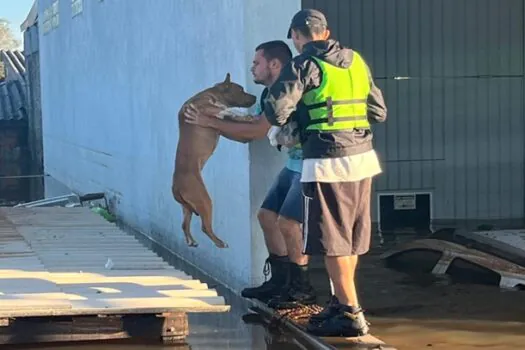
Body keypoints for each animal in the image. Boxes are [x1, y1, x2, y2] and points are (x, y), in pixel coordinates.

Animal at [171, 73, 255, 249]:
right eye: (241, 90)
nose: (255, 97)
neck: (213, 93)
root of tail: (175, 187)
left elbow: (229, 113)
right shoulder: (208, 109)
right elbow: (227, 109)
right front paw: (244, 115)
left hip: (187, 207)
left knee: (184, 224)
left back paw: (191, 240)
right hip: (204, 200)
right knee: (205, 227)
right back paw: (220, 242)